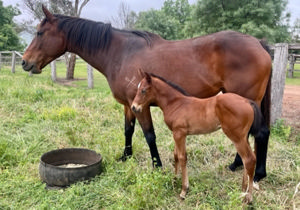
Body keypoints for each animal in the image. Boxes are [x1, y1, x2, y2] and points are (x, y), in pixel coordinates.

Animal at [131, 72, 270, 203]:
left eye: (143, 90)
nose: (134, 107)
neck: (176, 103)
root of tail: (247, 101)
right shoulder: (177, 133)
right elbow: (175, 155)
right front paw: (174, 180)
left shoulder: (179, 133)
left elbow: (182, 157)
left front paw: (183, 190)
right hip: (243, 137)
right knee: (247, 159)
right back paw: (242, 190)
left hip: (237, 137)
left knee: (249, 159)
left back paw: (248, 198)